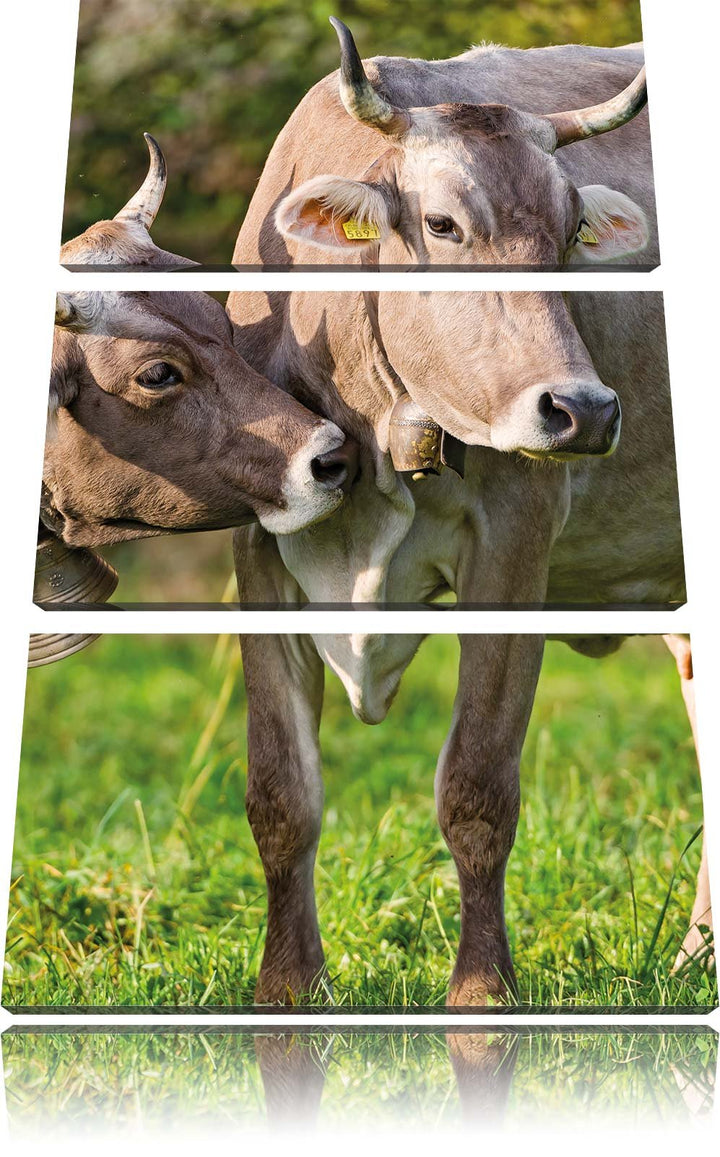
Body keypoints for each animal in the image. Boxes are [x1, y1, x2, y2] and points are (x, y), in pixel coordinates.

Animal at [226, 23, 710, 1004]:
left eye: (569, 232)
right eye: (444, 225)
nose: (584, 410)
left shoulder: (515, 548)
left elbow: (478, 786)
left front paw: (483, 989)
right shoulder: (257, 552)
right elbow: (281, 793)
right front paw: (287, 989)